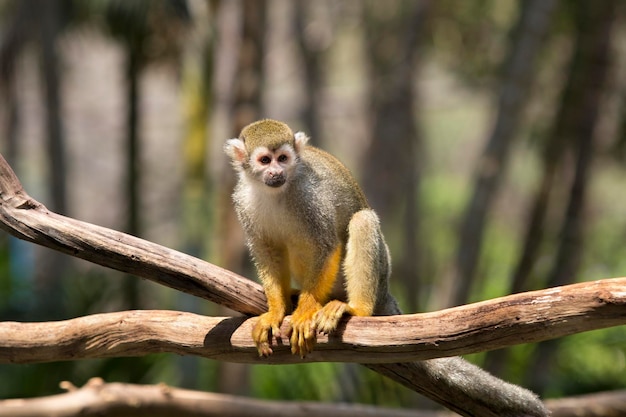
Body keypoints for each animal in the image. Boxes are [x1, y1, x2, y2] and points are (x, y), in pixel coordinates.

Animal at [224, 118, 398, 356]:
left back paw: (356, 309)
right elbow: (267, 251)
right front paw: (276, 310)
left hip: (381, 276)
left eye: (283, 158)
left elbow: (325, 246)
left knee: (362, 220)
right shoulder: (243, 201)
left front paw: (305, 312)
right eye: (265, 160)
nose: (276, 172)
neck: (276, 192)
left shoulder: (308, 195)